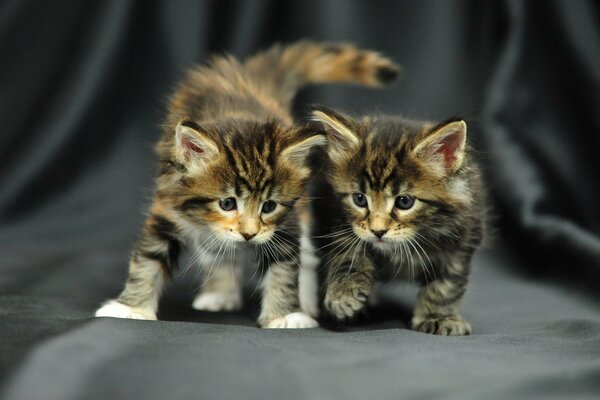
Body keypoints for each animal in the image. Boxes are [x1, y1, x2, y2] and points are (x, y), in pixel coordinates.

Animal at [95, 40, 398, 328]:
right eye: (227, 203)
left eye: (269, 206)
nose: (249, 234)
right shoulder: (167, 207)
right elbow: (148, 259)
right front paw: (130, 308)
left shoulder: (285, 222)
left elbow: (284, 268)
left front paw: (284, 315)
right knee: (217, 251)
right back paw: (219, 295)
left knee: (308, 256)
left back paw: (307, 302)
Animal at [312, 105, 486, 334]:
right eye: (359, 199)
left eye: (404, 202)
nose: (377, 231)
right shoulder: (338, 217)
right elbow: (348, 251)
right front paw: (343, 292)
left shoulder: (461, 242)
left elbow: (446, 286)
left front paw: (438, 317)